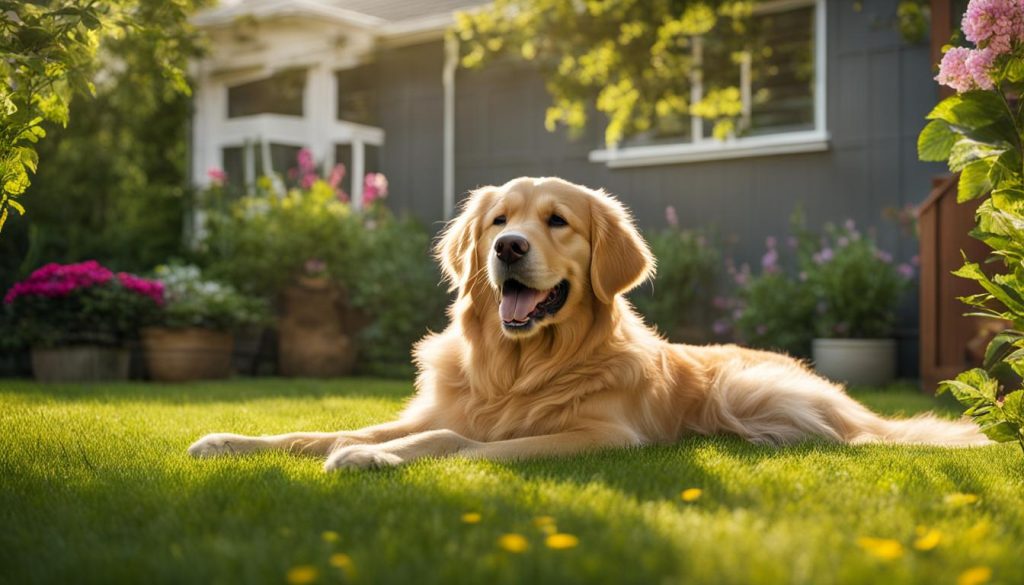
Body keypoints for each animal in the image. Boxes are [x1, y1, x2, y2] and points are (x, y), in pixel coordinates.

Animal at [188, 175, 987, 471]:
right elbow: (321, 429)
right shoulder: (437, 405)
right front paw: (230, 440)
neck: (517, 367)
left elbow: (454, 442)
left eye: (557, 222)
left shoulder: (597, 435)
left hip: (749, 391)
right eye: (498, 221)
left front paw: (373, 460)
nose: (508, 248)